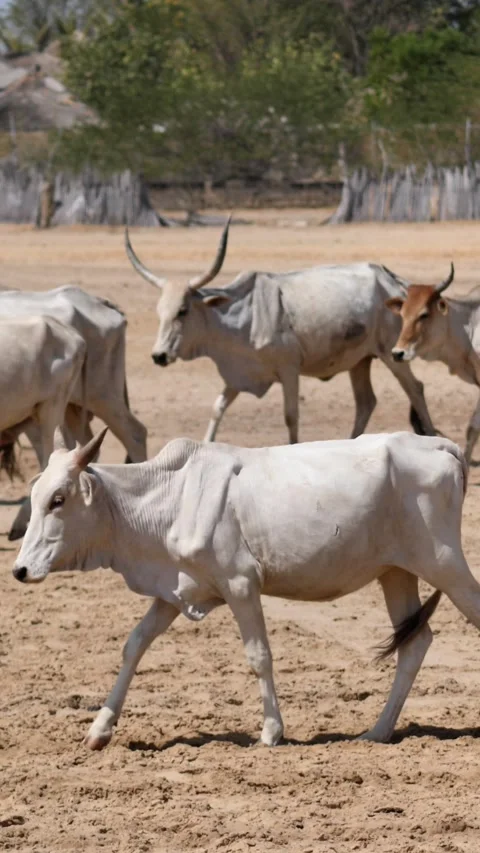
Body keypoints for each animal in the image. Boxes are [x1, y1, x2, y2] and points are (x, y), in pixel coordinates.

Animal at [13, 427, 475, 749]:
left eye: (58, 499)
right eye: (34, 496)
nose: (19, 570)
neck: (169, 497)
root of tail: (440, 446)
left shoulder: (240, 585)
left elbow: (259, 656)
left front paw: (271, 732)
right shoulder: (174, 592)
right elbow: (135, 645)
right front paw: (99, 730)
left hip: (443, 563)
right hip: (395, 572)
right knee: (415, 643)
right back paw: (377, 731)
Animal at [125, 222, 436, 443]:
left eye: (182, 310)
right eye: (160, 311)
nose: (159, 355)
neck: (245, 316)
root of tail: (396, 282)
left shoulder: (289, 371)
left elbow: (291, 417)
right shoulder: (238, 376)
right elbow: (217, 409)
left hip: (392, 353)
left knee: (415, 389)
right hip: (360, 361)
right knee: (365, 403)